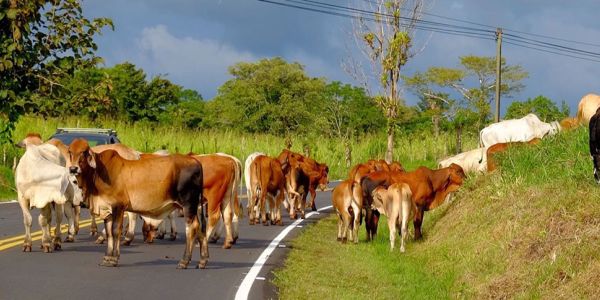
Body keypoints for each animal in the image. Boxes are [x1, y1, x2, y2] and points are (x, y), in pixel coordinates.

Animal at [68, 139, 206, 270]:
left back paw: (184, 261)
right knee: (199, 227)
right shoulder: (106, 209)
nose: (73, 169)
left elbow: (115, 230)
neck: (97, 173)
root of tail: (196, 162)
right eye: (70, 152)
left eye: (84, 152)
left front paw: (114, 259)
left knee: (192, 228)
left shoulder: (118, 206)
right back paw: (202, 261)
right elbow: (108, 233)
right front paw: (107, 258)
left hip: (188, 205)